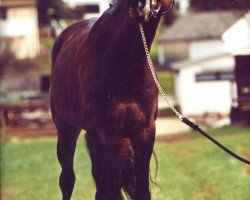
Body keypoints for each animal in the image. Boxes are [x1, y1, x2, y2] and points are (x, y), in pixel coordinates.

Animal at [49, 0, 173, 199]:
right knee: (67, 180)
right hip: (67, 130)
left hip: (120, 140)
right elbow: (106, 190)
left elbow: (141, 190)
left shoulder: (145, 133)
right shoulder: (99, 133)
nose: (141, 7)